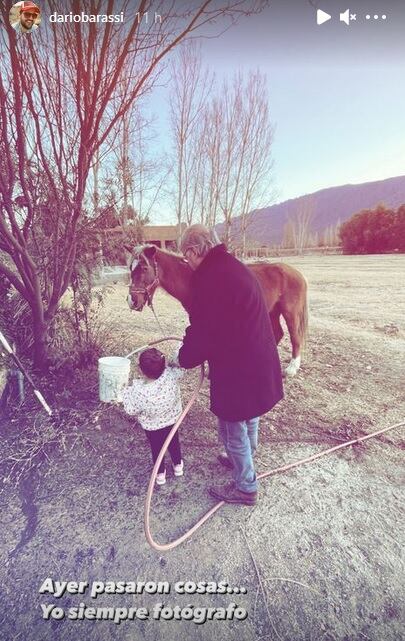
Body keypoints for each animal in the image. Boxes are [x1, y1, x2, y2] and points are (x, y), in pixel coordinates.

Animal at [126, 244, 306, 376]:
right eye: (130, 268)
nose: (131, 301)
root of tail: (297, 273)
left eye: (144, 268)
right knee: (278, 333)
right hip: (273, 311)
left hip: (290, 313)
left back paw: (291, 369)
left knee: (295, 338)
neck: (193, 279)